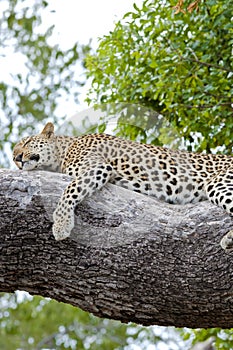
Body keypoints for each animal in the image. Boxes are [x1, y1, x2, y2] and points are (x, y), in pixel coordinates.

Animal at [13, 123, 233, 252]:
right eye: (14, 153)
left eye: (28, 142)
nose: (17, 158)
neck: (64, 151)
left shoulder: (97, 167)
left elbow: (70, 189)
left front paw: (61, 224)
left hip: (218, 182)